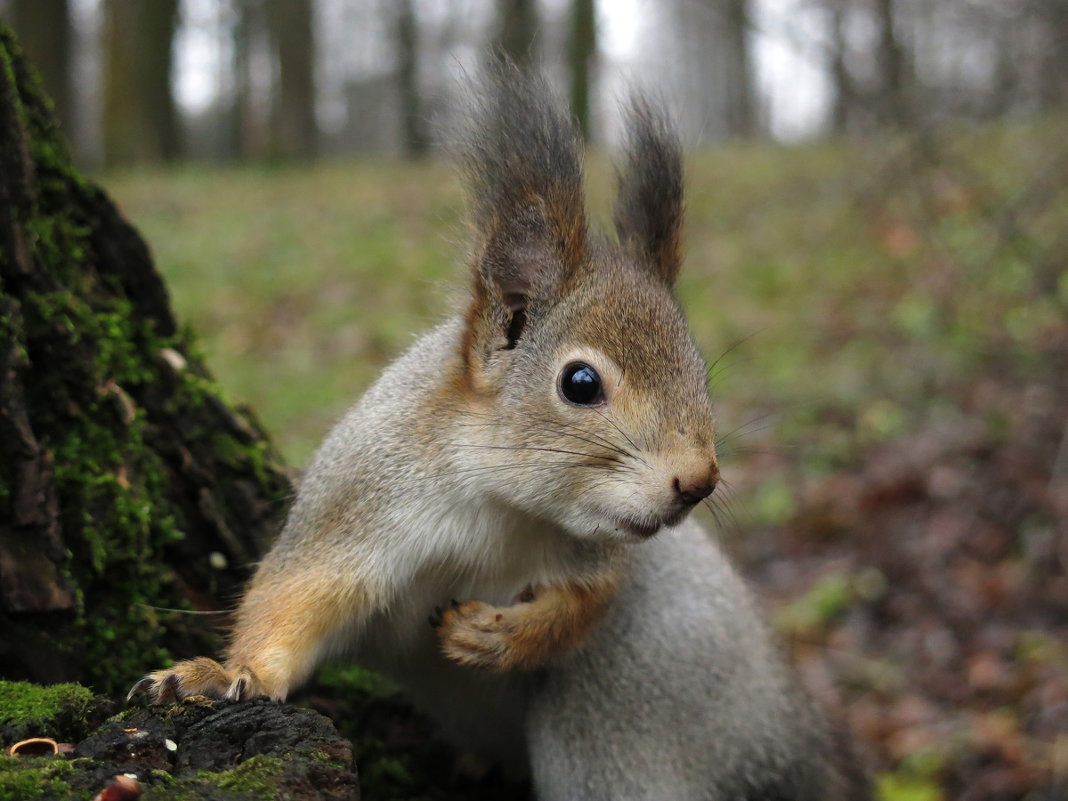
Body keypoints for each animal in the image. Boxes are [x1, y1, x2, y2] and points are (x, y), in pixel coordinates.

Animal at [131, 67, 867, 801]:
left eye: (698, 369)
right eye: (579, 383)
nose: (699, 481)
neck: (499, 504)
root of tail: (788, 740)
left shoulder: (596, 557)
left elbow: (585, 606)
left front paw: (498, 635)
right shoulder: (356, 504)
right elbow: (291, 599)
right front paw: (224, 675)